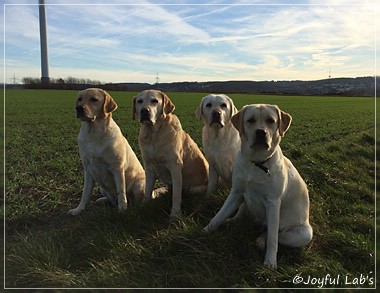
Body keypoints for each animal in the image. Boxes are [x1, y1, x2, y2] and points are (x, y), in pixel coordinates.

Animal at [131, 89, 208, 217]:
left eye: (154, 101)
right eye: (139, 101)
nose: (144, 111)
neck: (153, 134)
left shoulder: (175, 166)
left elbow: (176, 195)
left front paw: (175, 214)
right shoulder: (149, 167)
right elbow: (147, 191)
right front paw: (143, 207)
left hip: (192, 188)